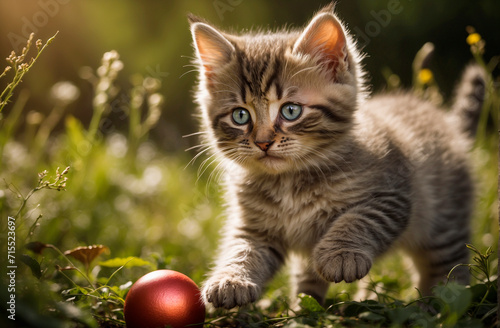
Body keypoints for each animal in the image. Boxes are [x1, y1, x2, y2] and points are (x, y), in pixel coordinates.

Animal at [188, 3, 484, 308]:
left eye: (291, 111)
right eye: (240, 116)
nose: (263, 142)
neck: (289, 182)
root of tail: (450, 126)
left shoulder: (392, 196)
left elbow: (357, 219)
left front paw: (341, 254)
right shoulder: (254, 227)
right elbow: (241, 249)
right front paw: (231, 279)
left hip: (444, 223)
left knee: (449, 267)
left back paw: (440, 304)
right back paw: (306, 307)